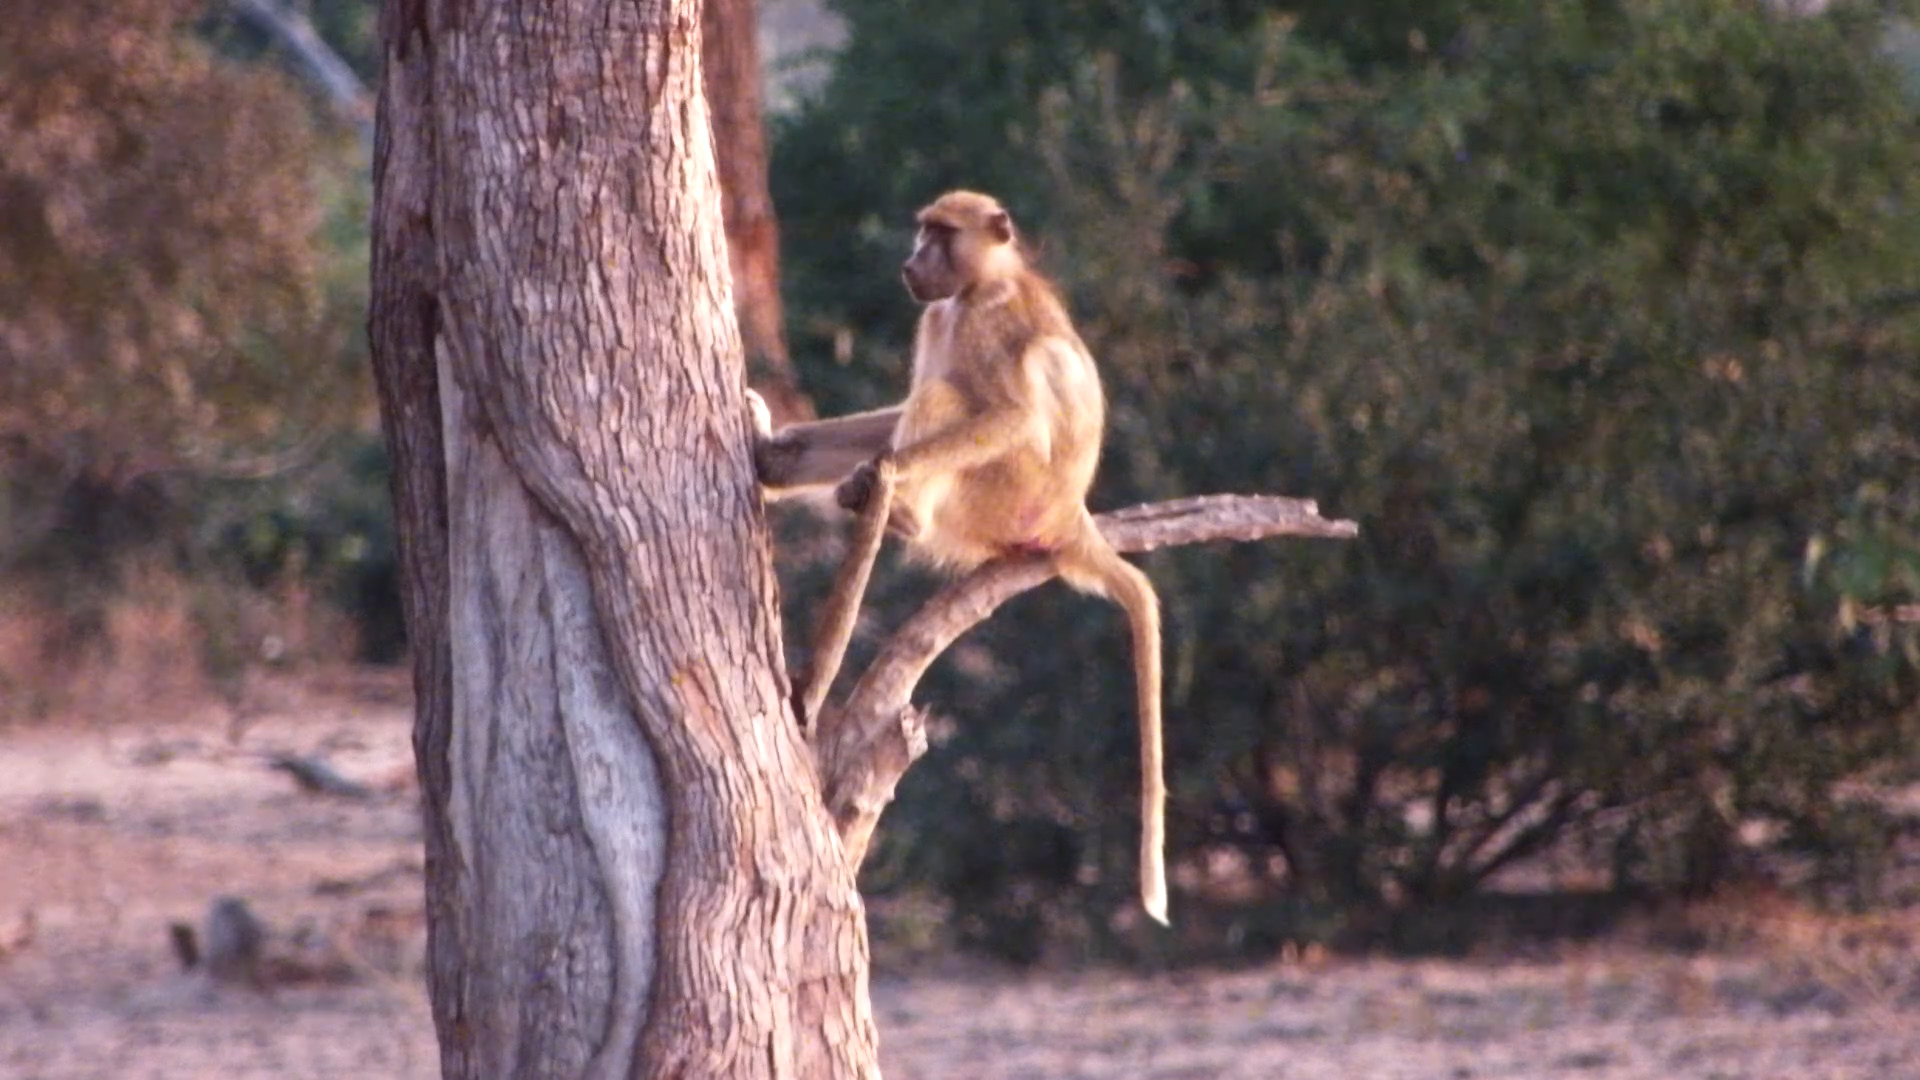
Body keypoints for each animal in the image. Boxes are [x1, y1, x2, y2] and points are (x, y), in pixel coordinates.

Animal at [755, 190, 1167, 925]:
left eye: (940, 234)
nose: (911, 261)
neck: (981, 283)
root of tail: (1072, 517)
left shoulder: (983, 321)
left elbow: (1009, 416)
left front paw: (881, 473)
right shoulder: (939, 313)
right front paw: (779, 458)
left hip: (1009, 498)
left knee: (959, 399)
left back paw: (904, 511)